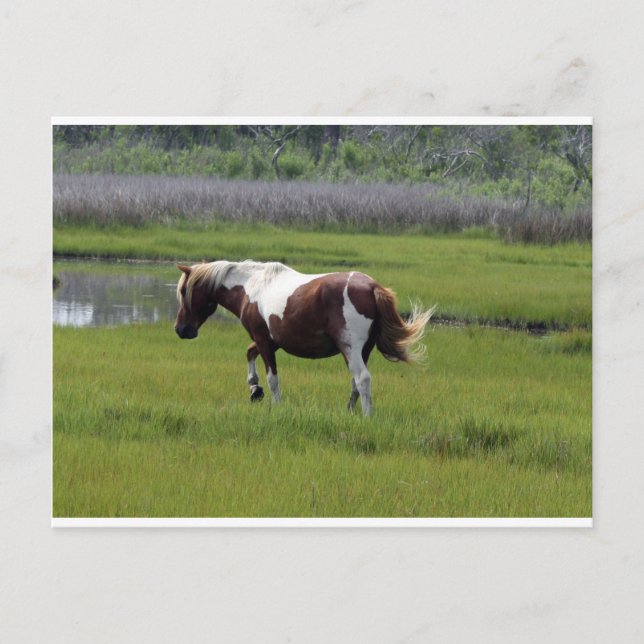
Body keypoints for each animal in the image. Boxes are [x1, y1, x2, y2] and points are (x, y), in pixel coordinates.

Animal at [174, 260, 434, 416]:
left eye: (184, 291)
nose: (180, 329)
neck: (251, 287)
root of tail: (372, 287)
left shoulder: (264, 340)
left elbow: (273, 378)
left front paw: (274, 404)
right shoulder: (271, 342)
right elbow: (249, 353)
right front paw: (254, 388)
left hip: (350, 348)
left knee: (362, 379)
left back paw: (367, 416)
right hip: (362, 351)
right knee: (355, 382)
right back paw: (349, 412)